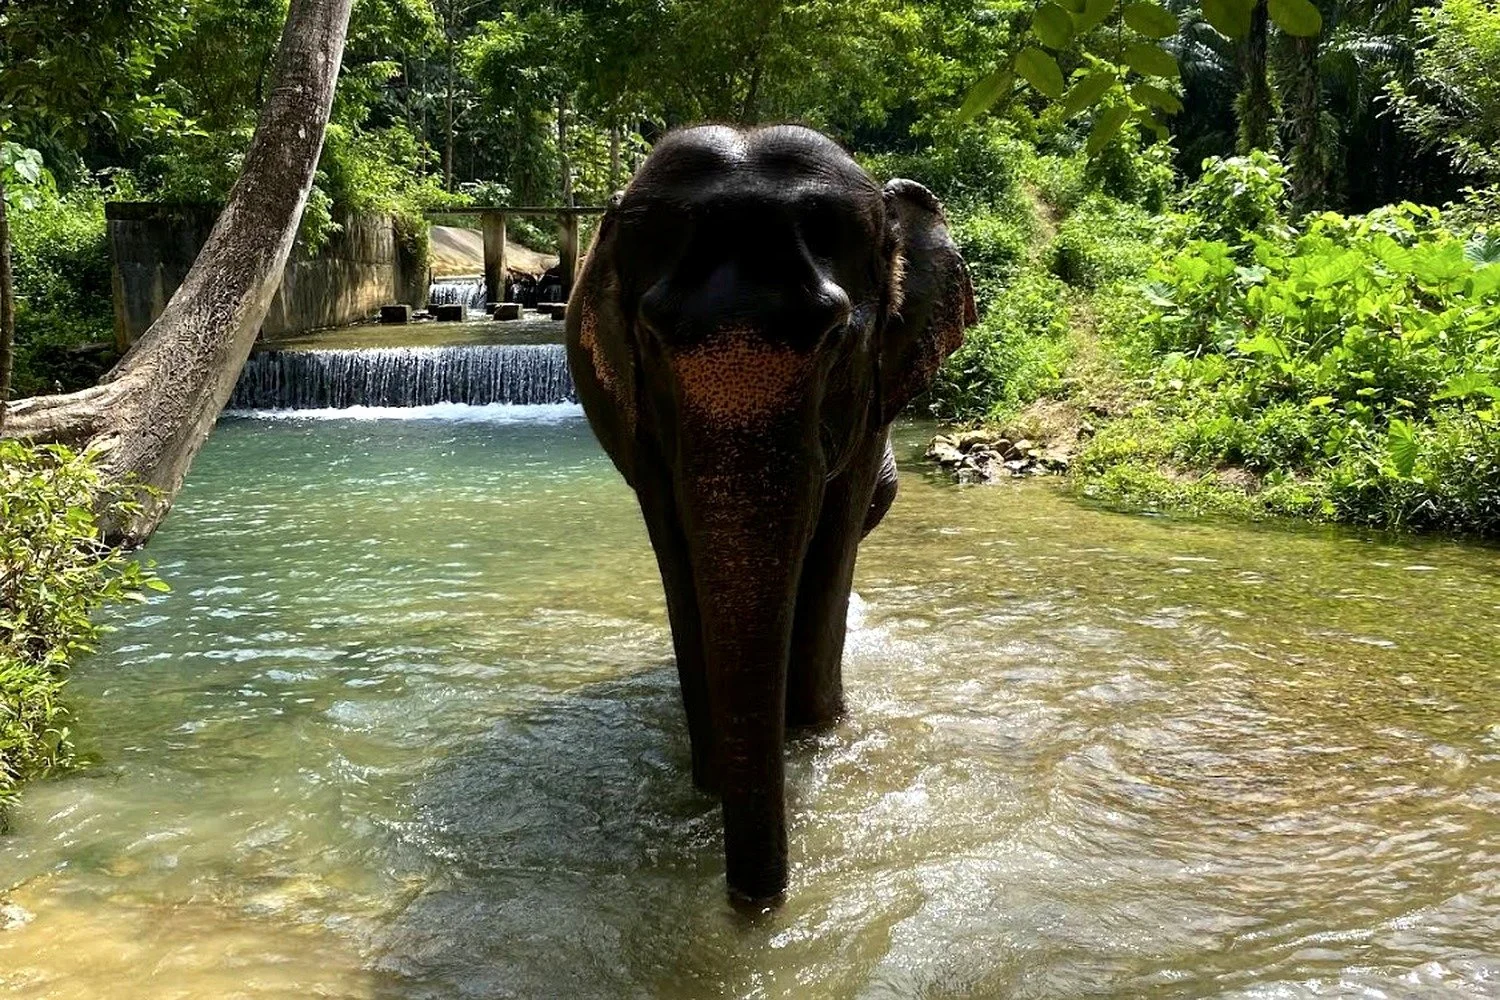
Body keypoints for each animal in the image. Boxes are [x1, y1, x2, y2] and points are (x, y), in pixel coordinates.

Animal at [564, 124, 975, 904]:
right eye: (650, 339)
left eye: (837, 337)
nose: (758, 902)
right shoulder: (638, 432)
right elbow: (678, 551)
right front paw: (711, 779)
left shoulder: (873, 406)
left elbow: (832, 540)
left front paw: (815, 738)